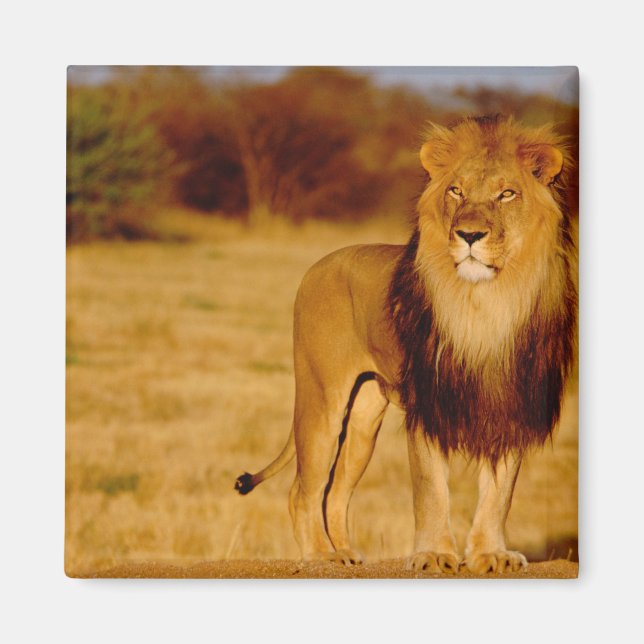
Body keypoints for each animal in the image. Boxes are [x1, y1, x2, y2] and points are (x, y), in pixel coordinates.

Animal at [235, 115, 576, 574]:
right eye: (456, 191)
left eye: (507, 193)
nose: (469, 234)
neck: (484, 304)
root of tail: (319, 264)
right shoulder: (427, 403)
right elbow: (431, 488)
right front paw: (433, 554)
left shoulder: (510, 404)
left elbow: (500, 493)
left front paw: (490, 554)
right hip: (321, 400)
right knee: (303, 490)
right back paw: (321, 557)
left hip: (364, 418)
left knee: (335, 491)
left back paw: (345, 554)